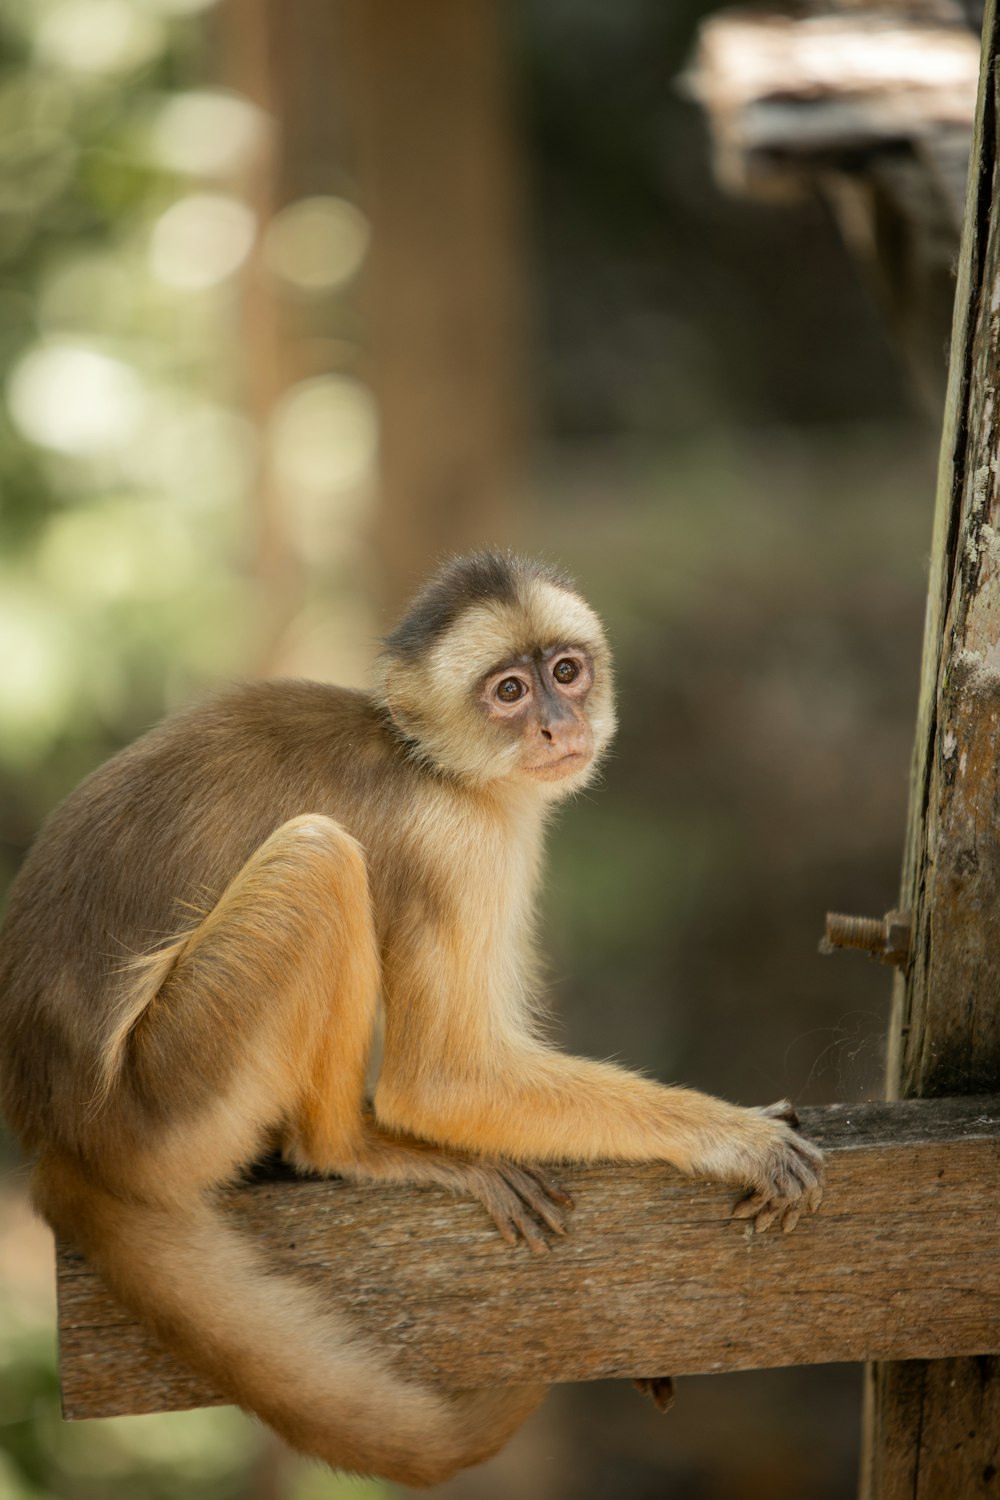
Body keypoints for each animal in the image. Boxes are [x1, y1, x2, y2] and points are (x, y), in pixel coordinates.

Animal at [0, 555, 821, 1488]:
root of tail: (62, 1134)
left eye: (565, 670)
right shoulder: (453, 841)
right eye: (509, 691)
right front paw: (732, 1138)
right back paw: (346, 1147)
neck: (432, 765)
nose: (557, 723)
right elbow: (442, 1083)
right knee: (319, 858)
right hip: (166, 1101)